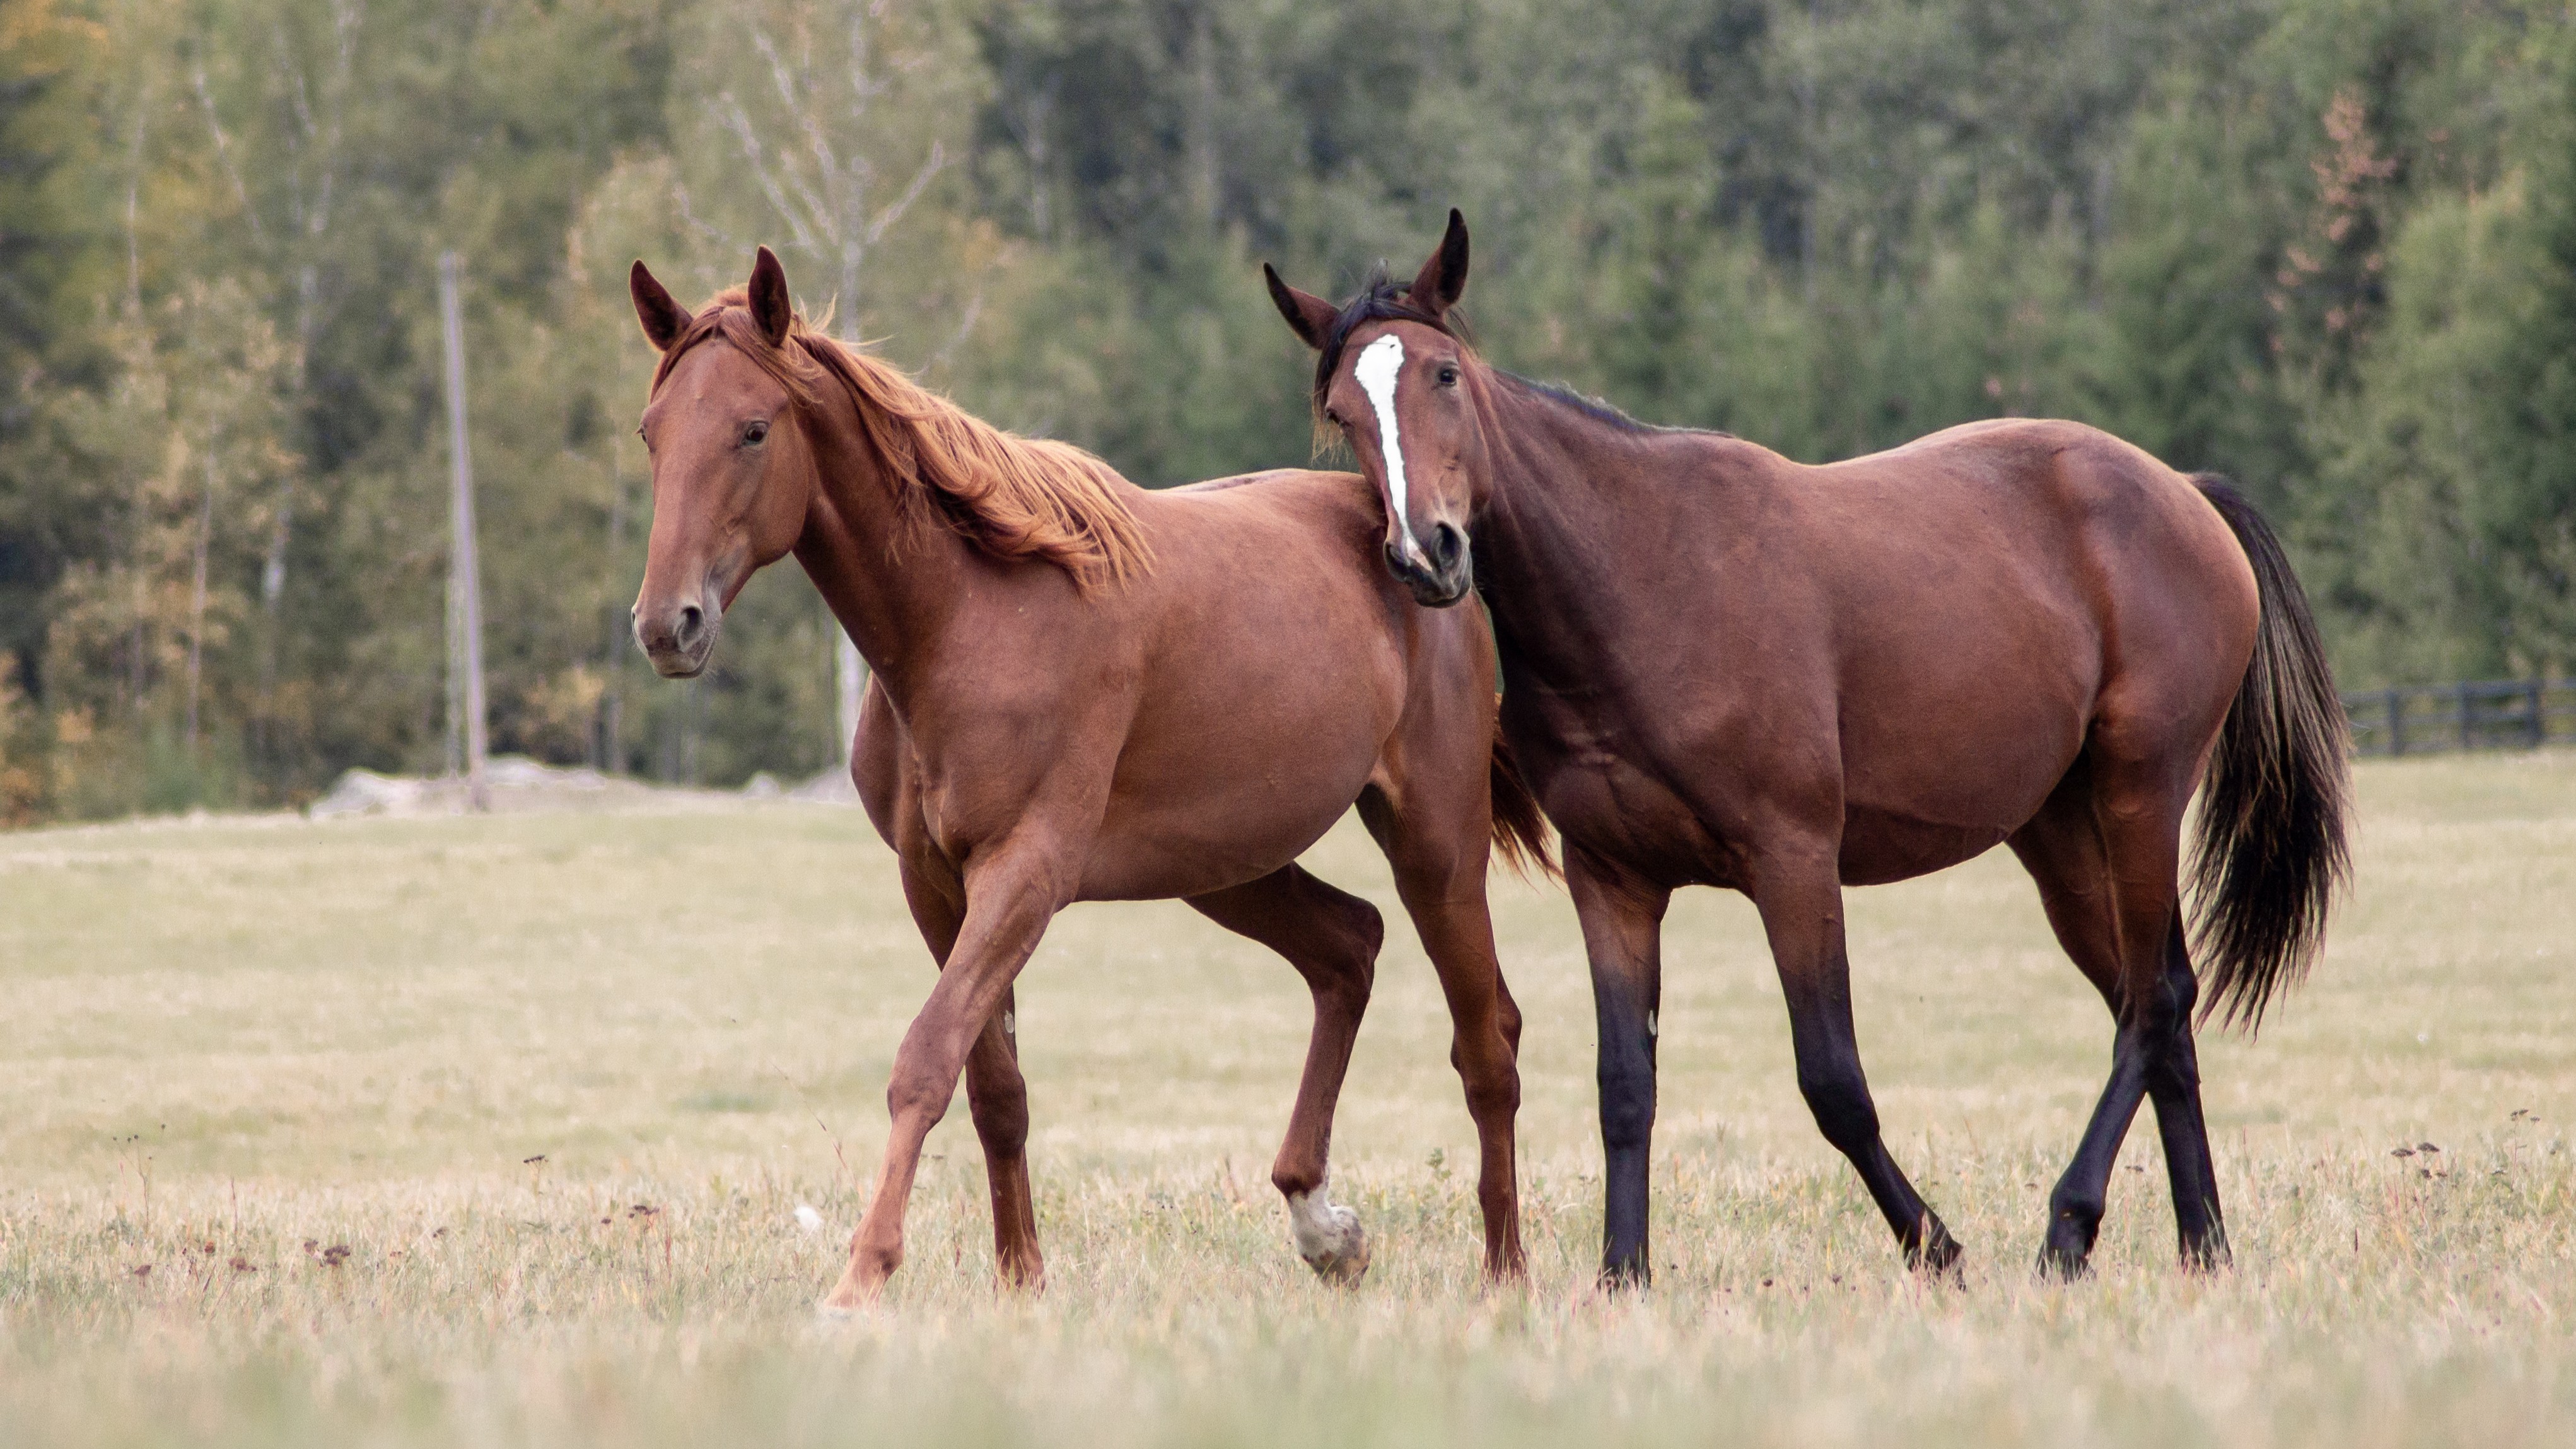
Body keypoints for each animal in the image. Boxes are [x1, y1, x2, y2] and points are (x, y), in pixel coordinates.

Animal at [626, 247, 1547, 1309]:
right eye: (653, 433)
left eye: (752, 428)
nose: (668, 624)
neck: (968, 614)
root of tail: (1413, 544)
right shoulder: (936, 885)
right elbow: (994, 1089)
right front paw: (1020, 1280)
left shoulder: (1025, 872)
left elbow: (925, 1060)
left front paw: (861, 1277)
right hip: (1227, 866)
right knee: (1349, 948)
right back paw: (1324, 1225)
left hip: (1435, 847)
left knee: (1486, 1043)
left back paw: (1505, 1271)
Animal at [1263, 211, 2350, 1283]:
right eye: (1342, 414)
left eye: (1444, 375)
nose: (1426, 553)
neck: (1642, 575)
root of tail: (2184, 493)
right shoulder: (1613, 879)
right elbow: (1625, 1084)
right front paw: (1623, 1273)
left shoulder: (1793, 861)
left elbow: (1833, 1082)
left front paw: (1936, 1246)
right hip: (2060, 832)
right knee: (2158, 1006)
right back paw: (2201, 1243)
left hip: (2139, 794)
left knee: (2152, 1003)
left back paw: (2071, 1223)